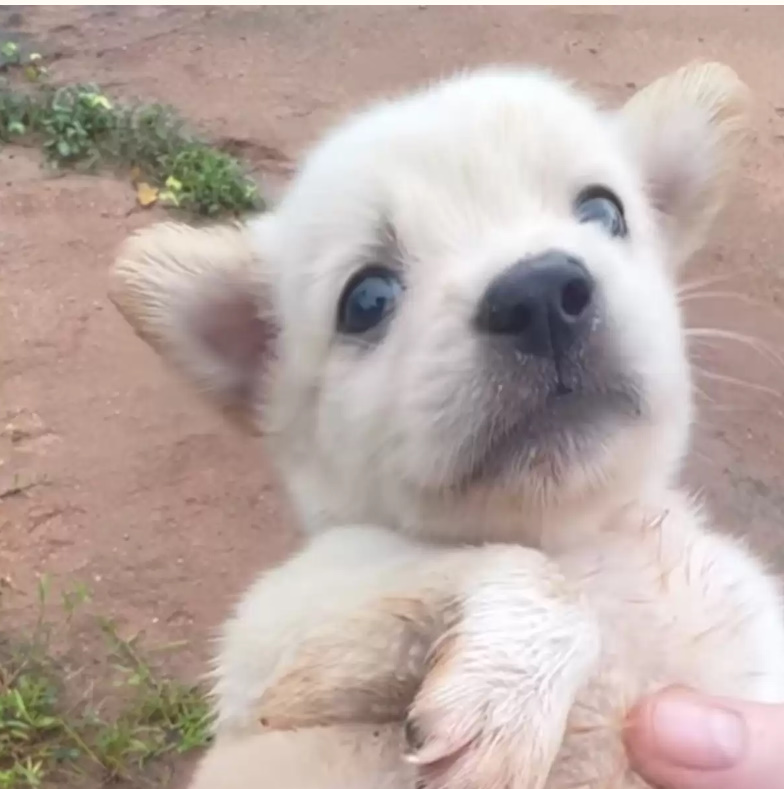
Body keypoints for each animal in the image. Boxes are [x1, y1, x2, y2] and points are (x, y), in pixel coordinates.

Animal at [108, 63, 784, 788]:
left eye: (604, 212)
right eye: (367, 299)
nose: (542, 295)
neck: (582, 539)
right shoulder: (272, 635)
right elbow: (501, 567)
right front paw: (509, 681)